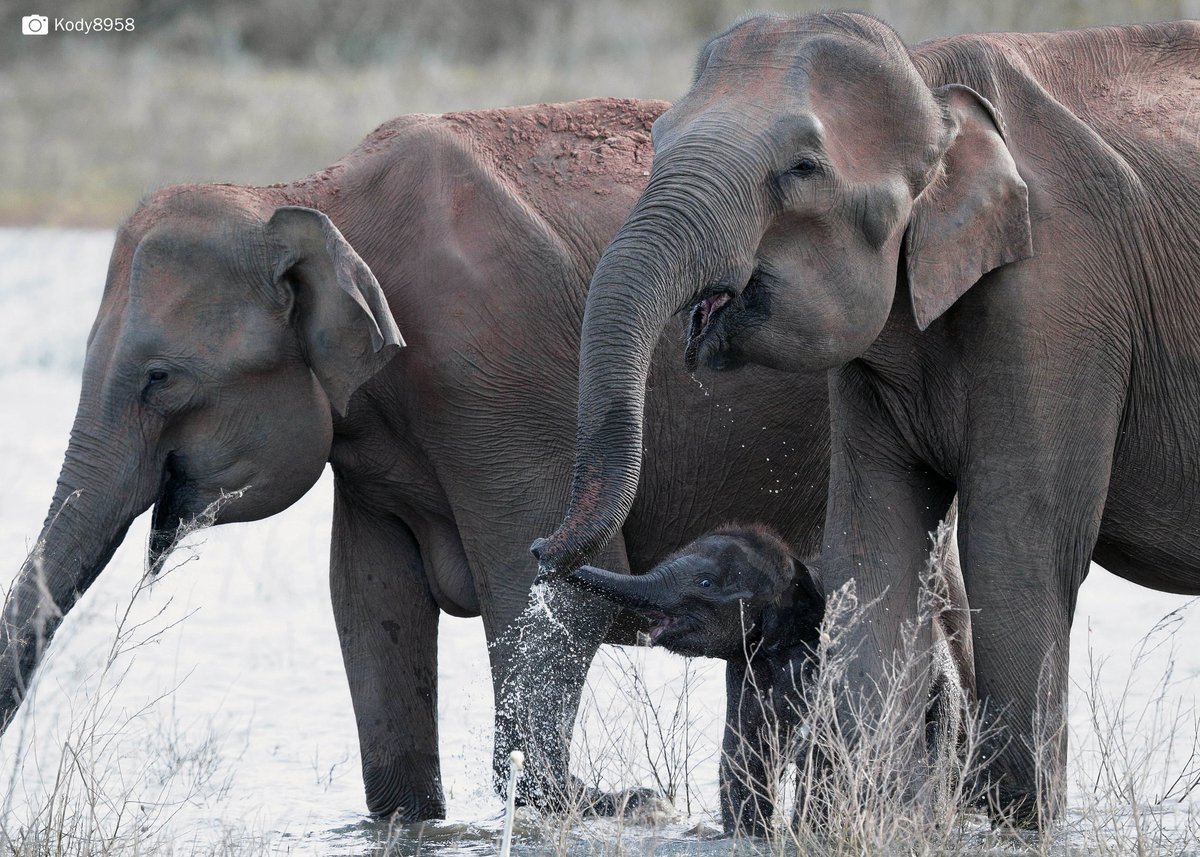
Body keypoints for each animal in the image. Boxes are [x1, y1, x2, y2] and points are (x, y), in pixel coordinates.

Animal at [0, 98, 838, 822]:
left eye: (160, 378)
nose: (640, 795)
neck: (312, 195)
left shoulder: (504, 377)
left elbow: (550, 591)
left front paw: (615, 803)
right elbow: (368, 599)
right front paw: (411, 817)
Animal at [572, 521, 973, 834]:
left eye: (705, 583)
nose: (547, 549)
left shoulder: (823, 661)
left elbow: (822, 749)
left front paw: (805, 834)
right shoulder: (745, 666)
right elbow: (745, 745)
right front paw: (750, 835)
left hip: (942, 692)